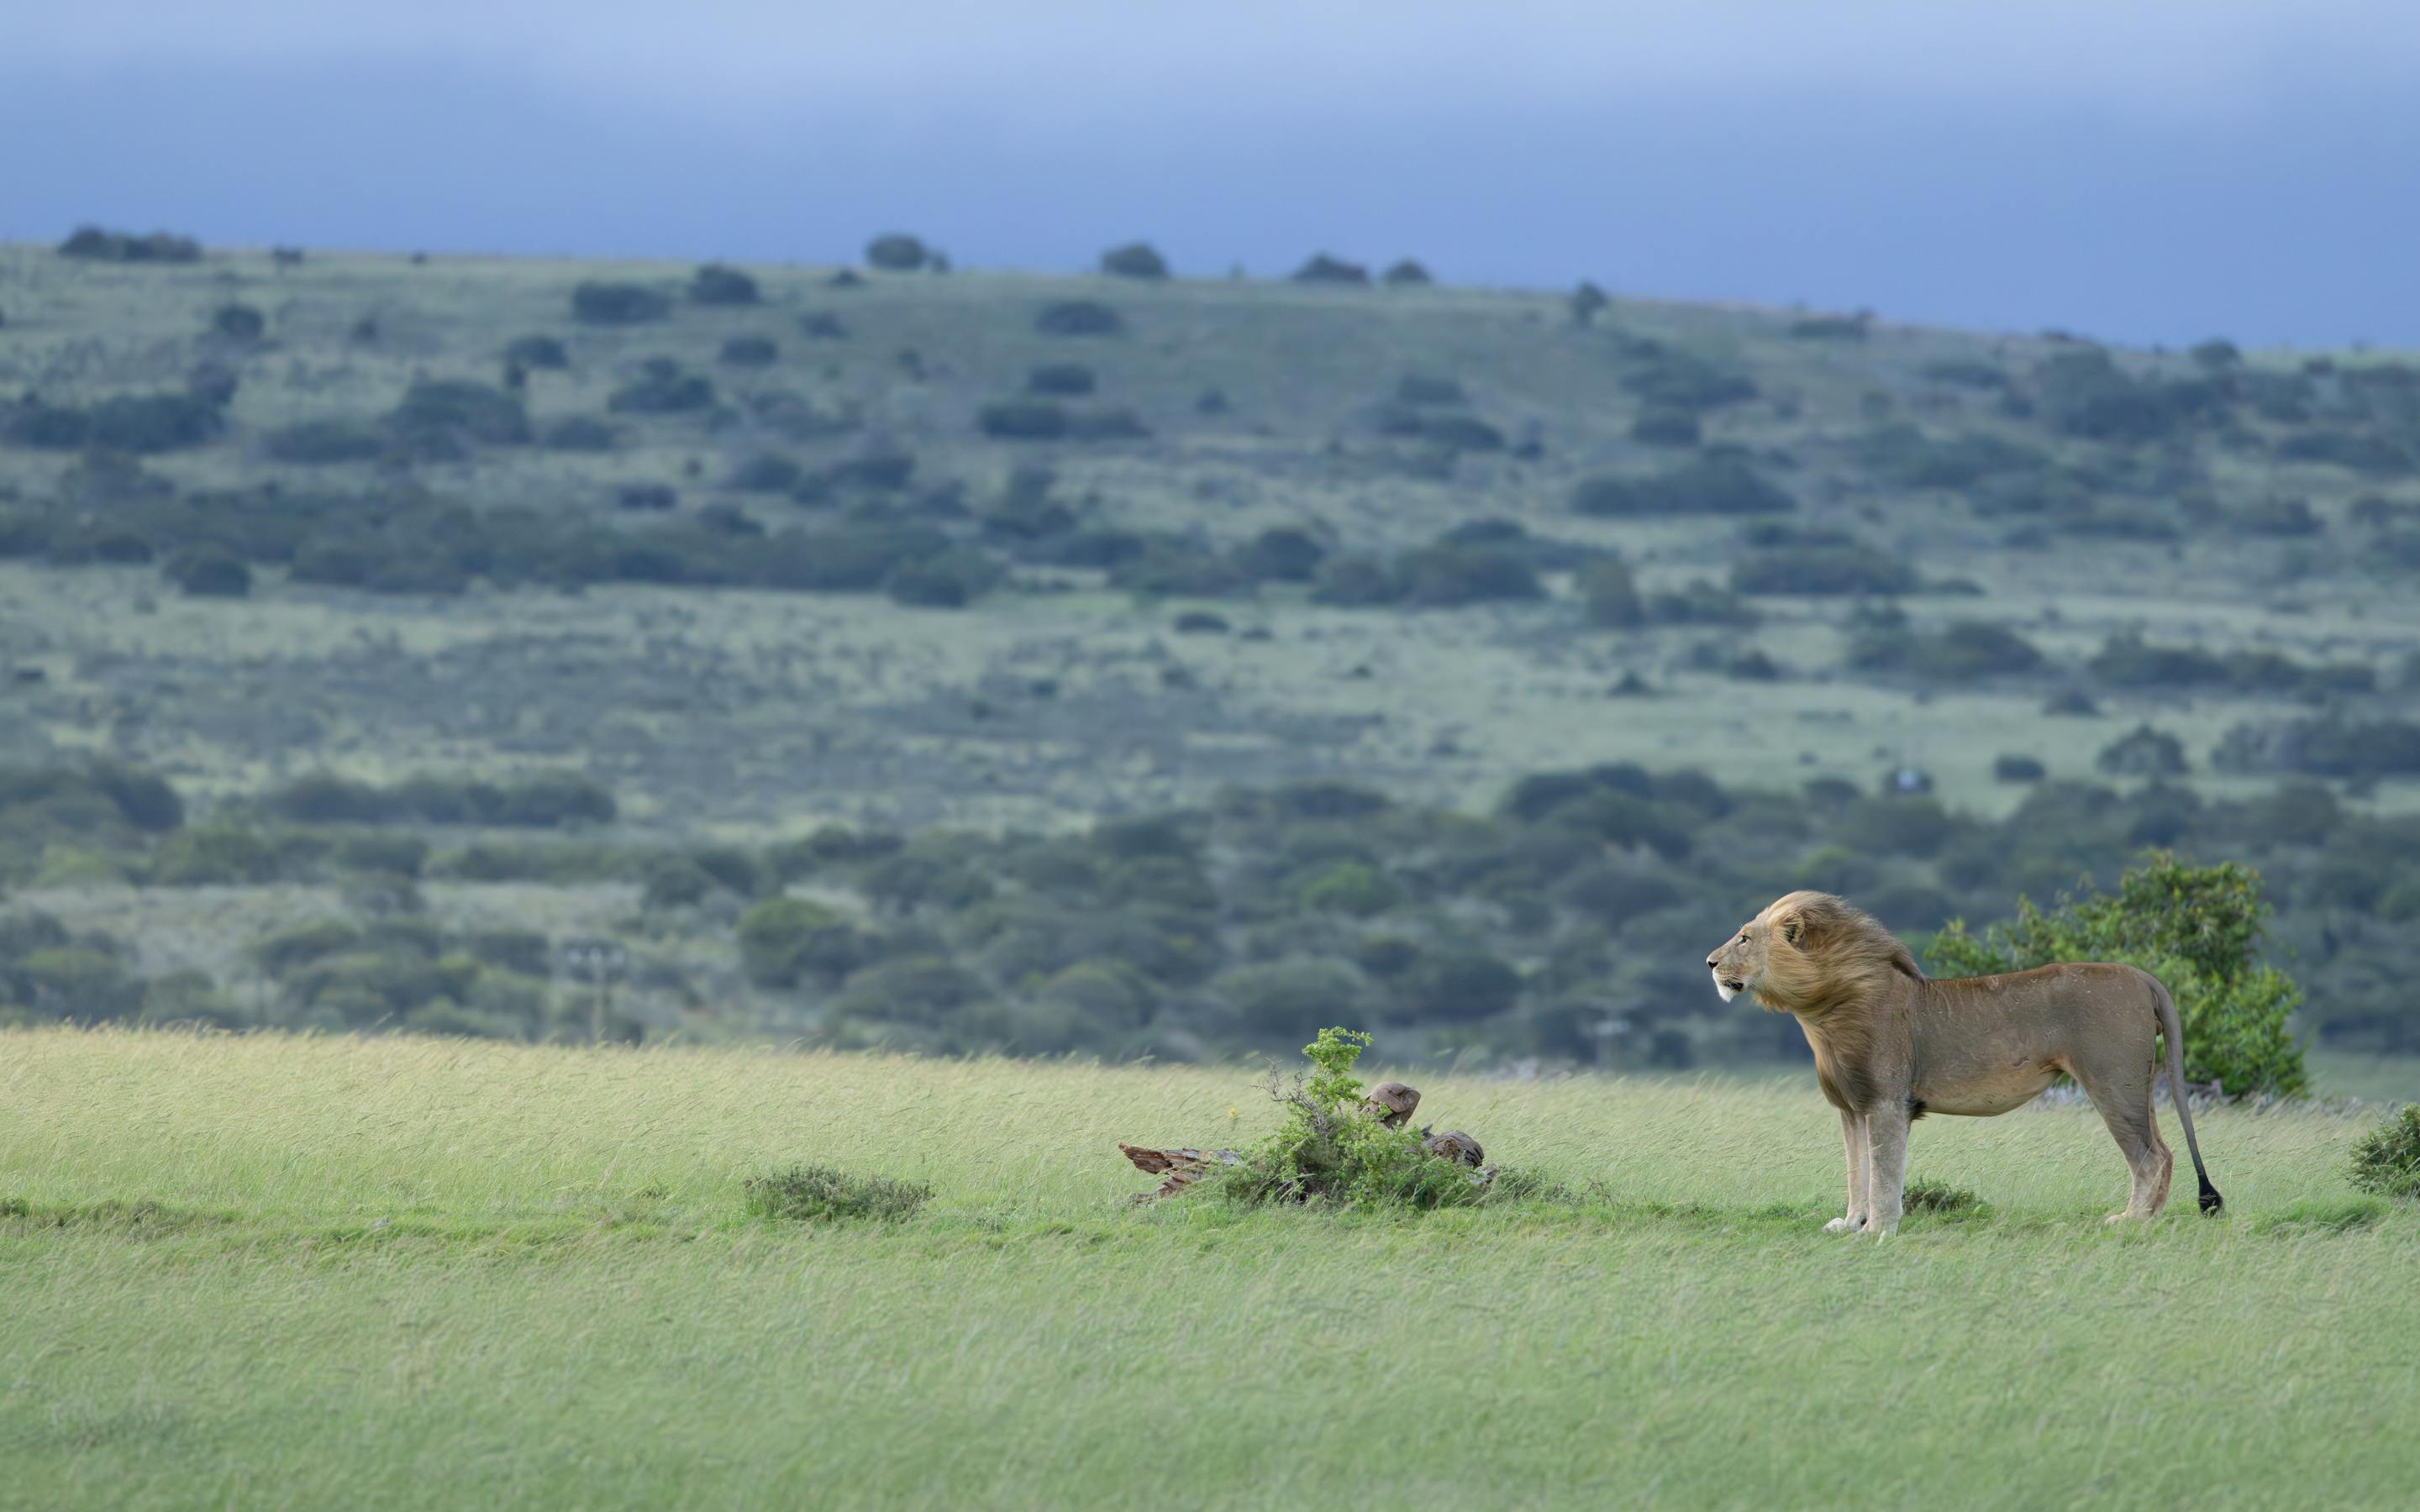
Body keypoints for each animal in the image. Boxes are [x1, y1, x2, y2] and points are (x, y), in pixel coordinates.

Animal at [1706, 890, 2221, 1236]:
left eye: (1744, 938)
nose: (1710, 962)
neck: (1821, 1007)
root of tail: (2142, 976)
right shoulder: (1852, 1108)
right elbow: (1857, 1170)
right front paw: (1851, 1223)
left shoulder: (1887, 1102)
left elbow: (1884, 1171)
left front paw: (1879, 1230)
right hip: (2136, 1085)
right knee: (2163, 1150)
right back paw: (2146, 1217)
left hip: (2112, 1083)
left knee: (2152, 1156)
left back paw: (2132, 1221)